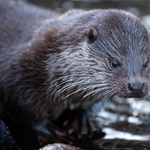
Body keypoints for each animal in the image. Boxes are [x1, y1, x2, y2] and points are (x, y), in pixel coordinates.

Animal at [0, 0, 150, 143]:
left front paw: (82, 121)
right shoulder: (17, 81)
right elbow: (27, 112)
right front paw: (50, 131)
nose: (136, 86)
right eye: (114, 63)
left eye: (146, 62)